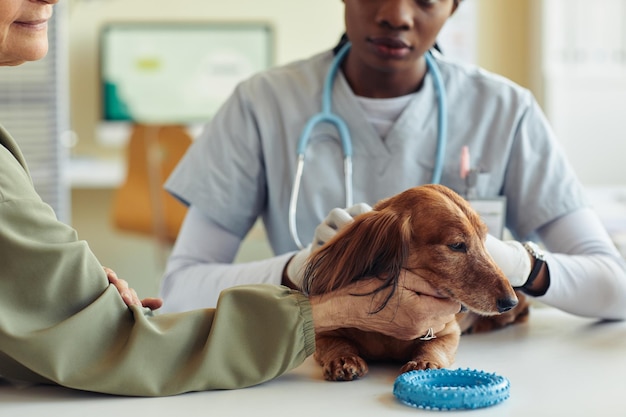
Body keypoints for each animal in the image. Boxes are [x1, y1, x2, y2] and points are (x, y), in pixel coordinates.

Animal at [302, 184, 528, 380]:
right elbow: (336, 342)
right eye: (456, 245)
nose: (510, 302)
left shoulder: (448, 331)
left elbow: (433, 346)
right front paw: (343, 358)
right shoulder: (325, 332)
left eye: (484, 239)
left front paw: (426, 362)